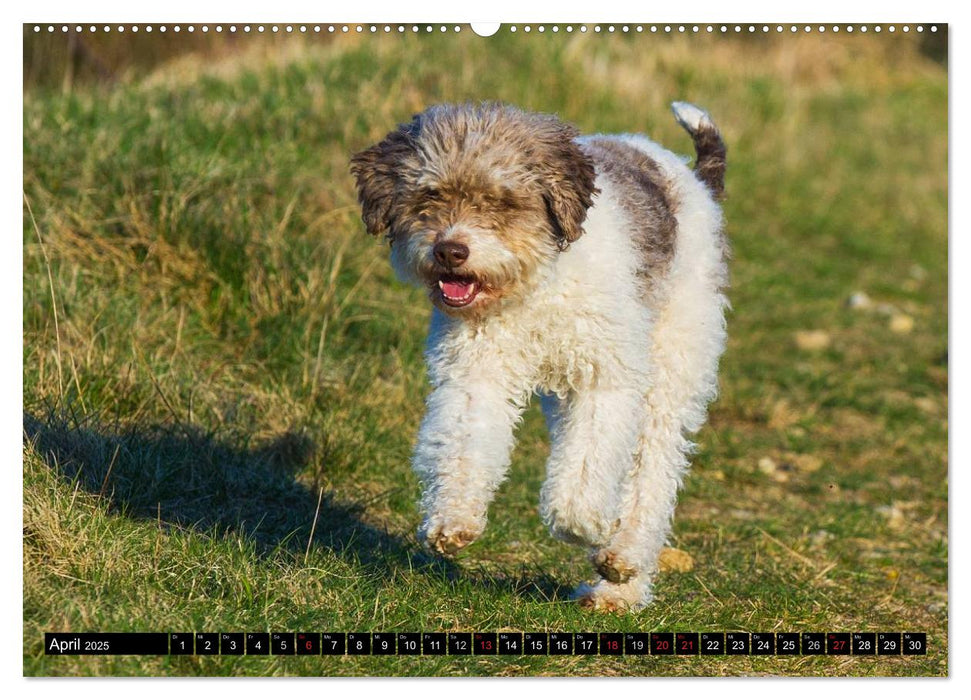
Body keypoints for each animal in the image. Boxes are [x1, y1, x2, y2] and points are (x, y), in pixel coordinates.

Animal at [352, 101, 728, 608]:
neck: (536, 284)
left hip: (671, 371)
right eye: (429, 195)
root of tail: (692, 177)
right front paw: (452, 520)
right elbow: (463, 444)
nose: (450, 251)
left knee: (652, 470)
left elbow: (587, 466)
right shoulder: (475, 371)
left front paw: (584, 525)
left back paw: (620, 568)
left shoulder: (604, 375)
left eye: (503, 201)